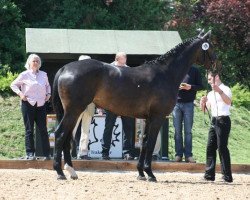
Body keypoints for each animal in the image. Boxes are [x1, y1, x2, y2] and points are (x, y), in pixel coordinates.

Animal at [52, 30, 217, 181]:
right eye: (210, 47)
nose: (215, 64)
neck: (165, 74)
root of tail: (65, 69)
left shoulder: (148, 119)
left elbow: (143, 143)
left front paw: (141, 173)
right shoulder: (158, 118)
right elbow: (150, 144)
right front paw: (150, 173)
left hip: (72, 112)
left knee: (67, 137)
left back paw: (72, 171)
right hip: (74, 111)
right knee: (60, 134)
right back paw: (60, 172)